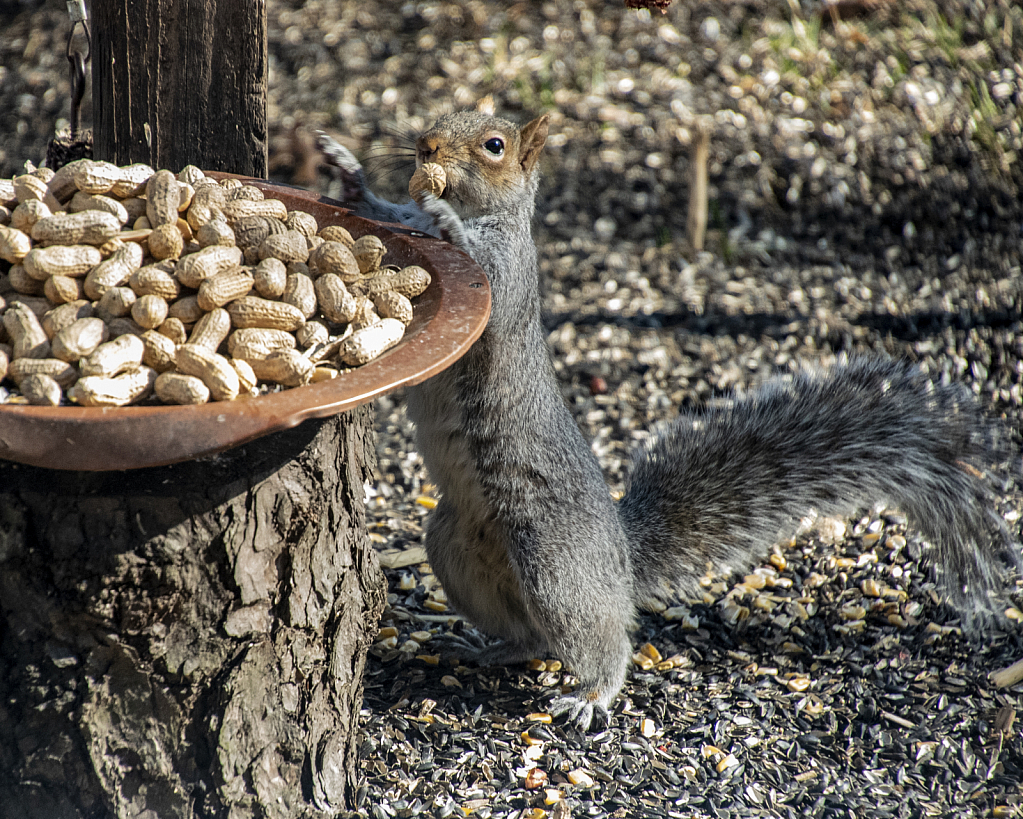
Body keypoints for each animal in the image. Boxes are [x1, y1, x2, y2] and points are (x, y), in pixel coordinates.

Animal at [317, 110, 1014, 728]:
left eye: (493, 145)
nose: (426, 146)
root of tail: (621, 558)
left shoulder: (504, 279)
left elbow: (467, 257)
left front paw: (441, 216)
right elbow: (392, 215)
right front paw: (349, 175)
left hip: (552, 562)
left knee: (596, 639)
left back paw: (592, 695)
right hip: (455, 547)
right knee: (531, 636)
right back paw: (486, 647)